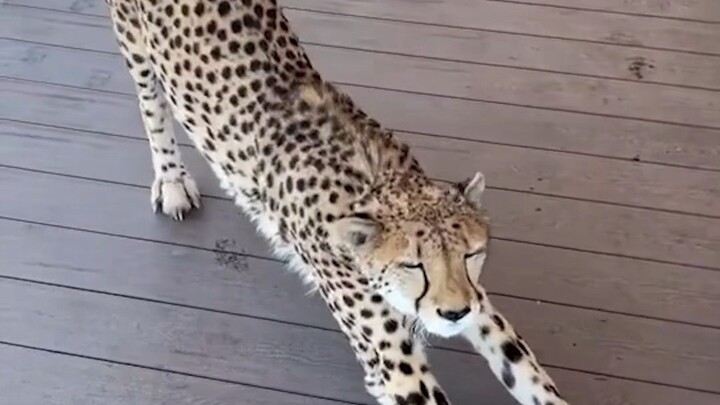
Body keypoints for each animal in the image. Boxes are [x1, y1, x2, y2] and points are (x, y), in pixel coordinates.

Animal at [105, 0, 570, 404]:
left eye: (470, 255)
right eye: (413, 265)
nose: (454, 314)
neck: (376, 181)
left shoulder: (479, 306)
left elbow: (528, 375)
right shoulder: (396, 358)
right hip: (134, 42)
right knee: (151, 104)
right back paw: (171, 178)